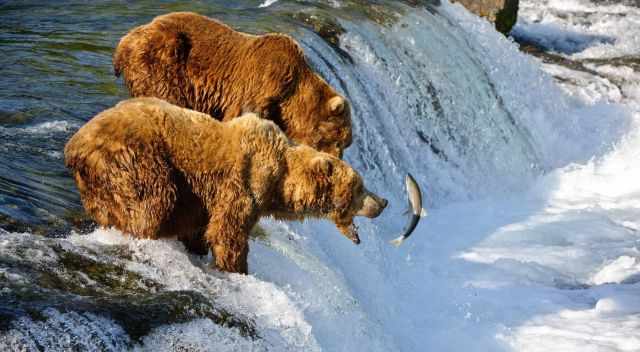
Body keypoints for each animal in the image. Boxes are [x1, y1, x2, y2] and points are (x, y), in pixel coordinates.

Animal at [65, 97, 388, 274]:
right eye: (360, 187)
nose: (384, 202)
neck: (280, 183)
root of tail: (75, 145)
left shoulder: (200, 198)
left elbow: (200, 228)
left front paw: (198, 248)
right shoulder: (241, 183)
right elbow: (228, 231)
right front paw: (237, 268)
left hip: (98, 181)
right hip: (138, 159)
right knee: (154, 202)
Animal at [113, 12, 352, 158]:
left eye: (345, 143)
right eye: (340, 140)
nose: (338, 159)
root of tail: (124, 42)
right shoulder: (263, 82)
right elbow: (245, 114)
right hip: (163, 61)